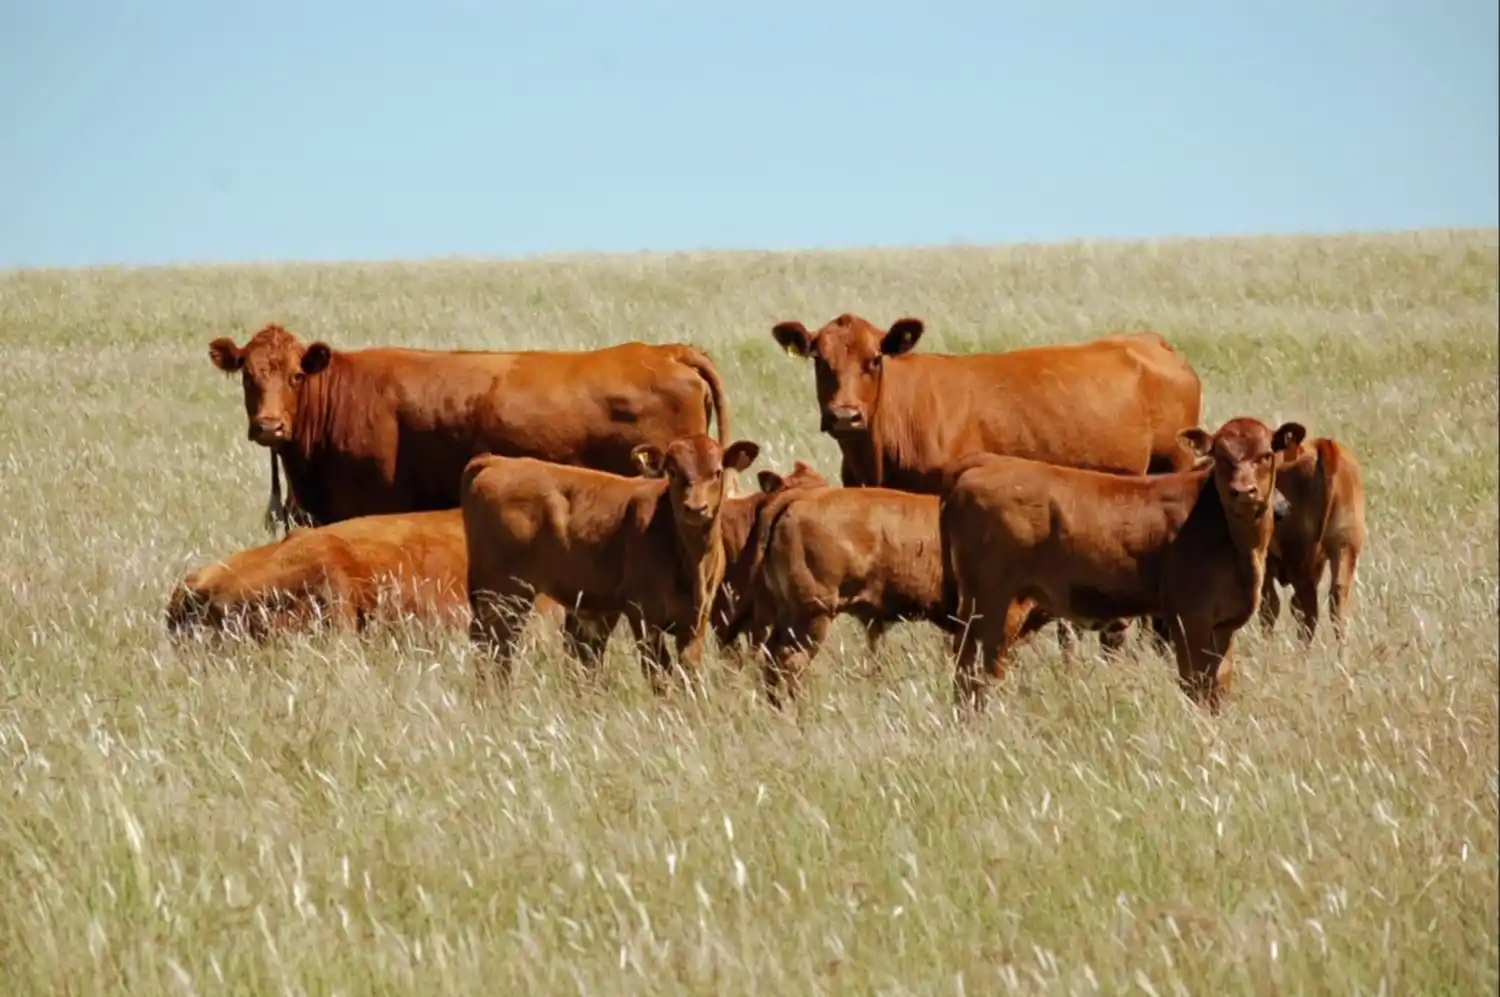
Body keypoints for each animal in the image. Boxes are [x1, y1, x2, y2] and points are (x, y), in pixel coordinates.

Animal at [462, 433, 761, 696]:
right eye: (673, 471)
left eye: (718, 472)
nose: (696, 508)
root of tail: (496, 461)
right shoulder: (642, 615)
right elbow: (657, 671)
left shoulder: (697, 618)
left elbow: (688, 669)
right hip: (506, 592)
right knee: (496, 644)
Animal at [940, 417, 1307, 715]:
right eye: (1221, 455)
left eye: (1266, 455)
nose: (1243, 491)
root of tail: (984, 463)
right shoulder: (1190, 618)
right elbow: (1196, 684)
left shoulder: (1224, 625)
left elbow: (1219, 687)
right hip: (995, 605)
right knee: (980, 672)